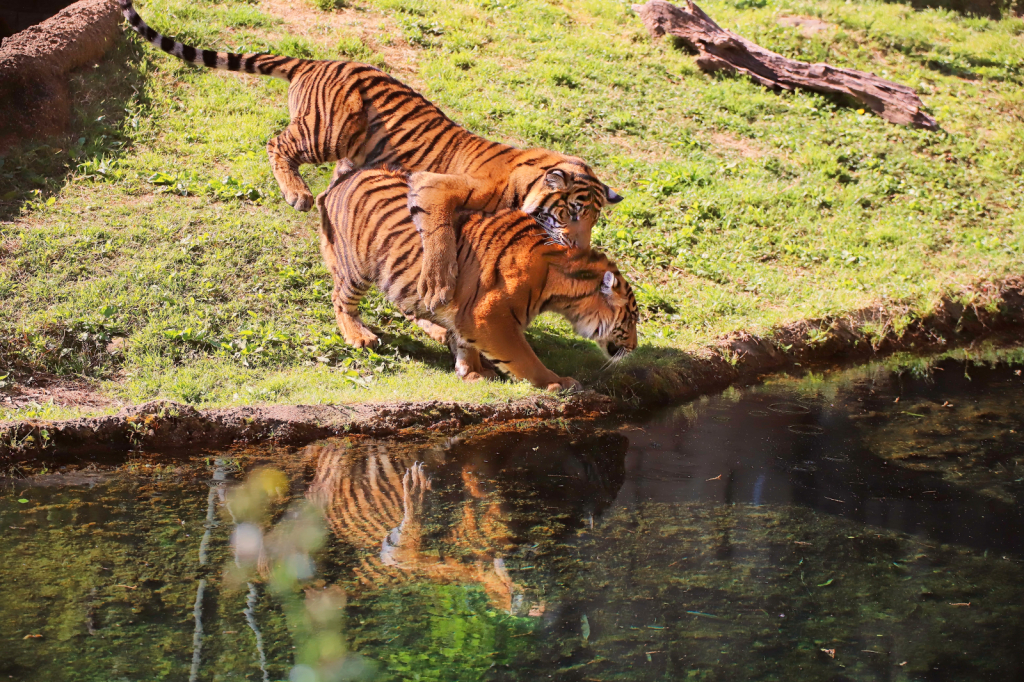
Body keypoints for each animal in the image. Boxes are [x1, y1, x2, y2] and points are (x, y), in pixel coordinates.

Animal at [116, 0, 618, 307]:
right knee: (278, 145)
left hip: (352, 153)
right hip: (328, 132)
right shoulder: (433, 187)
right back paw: (296, 193)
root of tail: (315, 61)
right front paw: (438, 287)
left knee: (330, 194)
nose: (579, 248)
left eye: (594, 220)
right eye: (574, 212)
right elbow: (438, 239)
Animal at [315, 164, 634, 391]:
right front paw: (556, 382)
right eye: (630, 319)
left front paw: (472, 371)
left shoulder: (468, 312)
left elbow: (466, 343)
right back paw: (359, 335)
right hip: (356, 269)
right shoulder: (490, 317)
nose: (633, 348)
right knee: (340, 299)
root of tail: (347, 174)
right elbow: (525, 358)